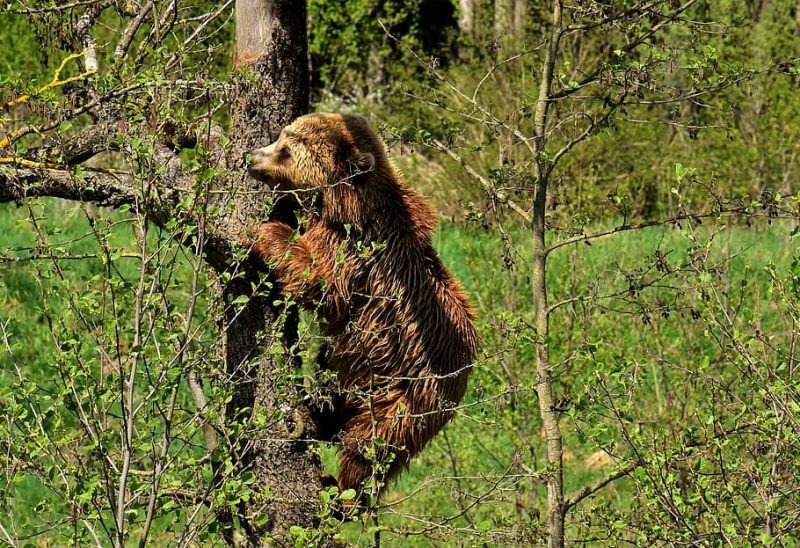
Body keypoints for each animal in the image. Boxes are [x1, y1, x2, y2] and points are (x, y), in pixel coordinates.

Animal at [245, 113, 477, 504]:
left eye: (286, 150)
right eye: (280, 137)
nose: (251, 158)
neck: (344, 203)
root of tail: (462, 381)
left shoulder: (354, 252)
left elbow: (319, 282)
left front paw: (265, 231)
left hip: (406, 396)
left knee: (367, 447)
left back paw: (345, 494)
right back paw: (319, 414)